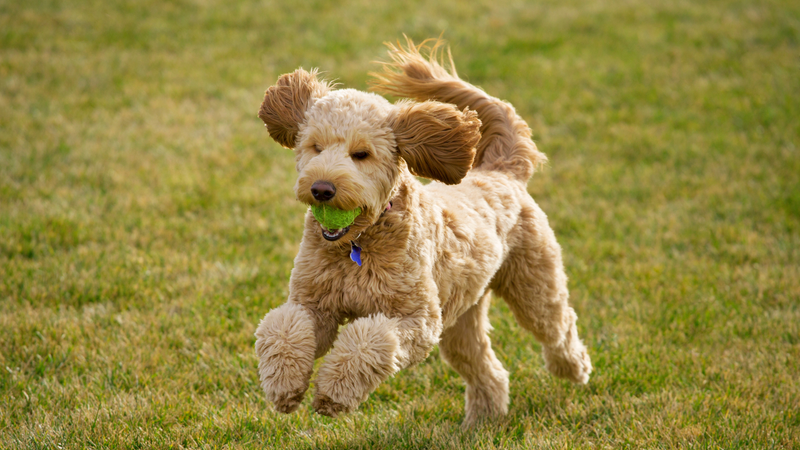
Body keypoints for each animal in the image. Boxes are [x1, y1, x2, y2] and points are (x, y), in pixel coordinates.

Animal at [253, 37, 592, 426]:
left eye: (361, 154)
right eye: (315, 147)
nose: (322, 189)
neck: (359, 245)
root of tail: (503, 172)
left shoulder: (418, 319)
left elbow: (371, 340)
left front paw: (333, 393)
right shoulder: (315, 305)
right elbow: (283, 327)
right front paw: (284, 386)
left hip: (534, 286)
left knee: (558, 327)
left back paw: (575, 368)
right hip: (461, 318)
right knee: (485, 367)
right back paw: (483, 420)